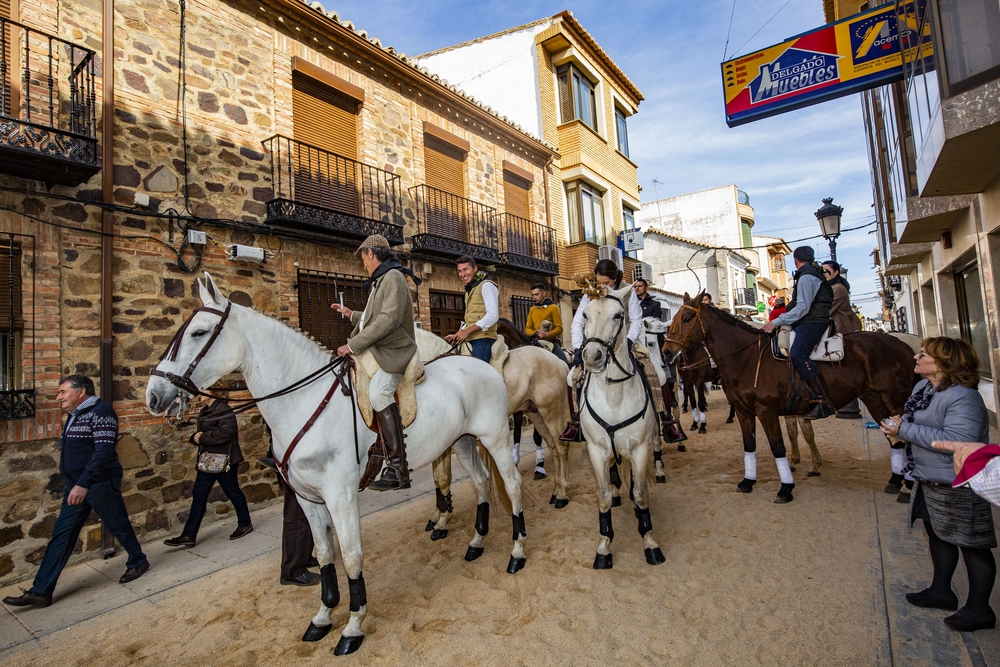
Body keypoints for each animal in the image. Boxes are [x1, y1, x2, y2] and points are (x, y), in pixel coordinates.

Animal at [146, 274, 532, 656]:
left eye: (199, 333)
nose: (153, 394)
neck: (305, 400)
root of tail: (482, 365)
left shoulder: (340, 495)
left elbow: (350, 555)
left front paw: (353, 626)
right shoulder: (307, 497)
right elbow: (324, 553)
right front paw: (322, 617)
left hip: (496, 438)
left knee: (512, 486)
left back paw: (516, 553)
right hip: (463, 442)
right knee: (482, 483)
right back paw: (476, 543)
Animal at [580, 282, 664, 568]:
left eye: (618, 315)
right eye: (585, 315)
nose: (592, 356)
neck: (613, 395)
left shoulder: (639, 449)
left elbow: (640, 493)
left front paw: (650, 543)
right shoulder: (596, 451)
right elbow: (603, 496)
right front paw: (604, 548)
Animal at [664, 290, 916, 504]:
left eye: (687, 318)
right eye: (673, 318)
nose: (666, 351)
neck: (746, 357)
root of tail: (904, 345)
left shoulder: (767, 411)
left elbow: (778, 448)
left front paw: (786, 488)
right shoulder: (745, 412)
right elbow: (749, 445)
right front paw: (748, 481)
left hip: (896, 400)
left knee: (906, 439)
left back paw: (907, 487)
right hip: (874, 399)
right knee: (894, 440)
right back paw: (895, 481)